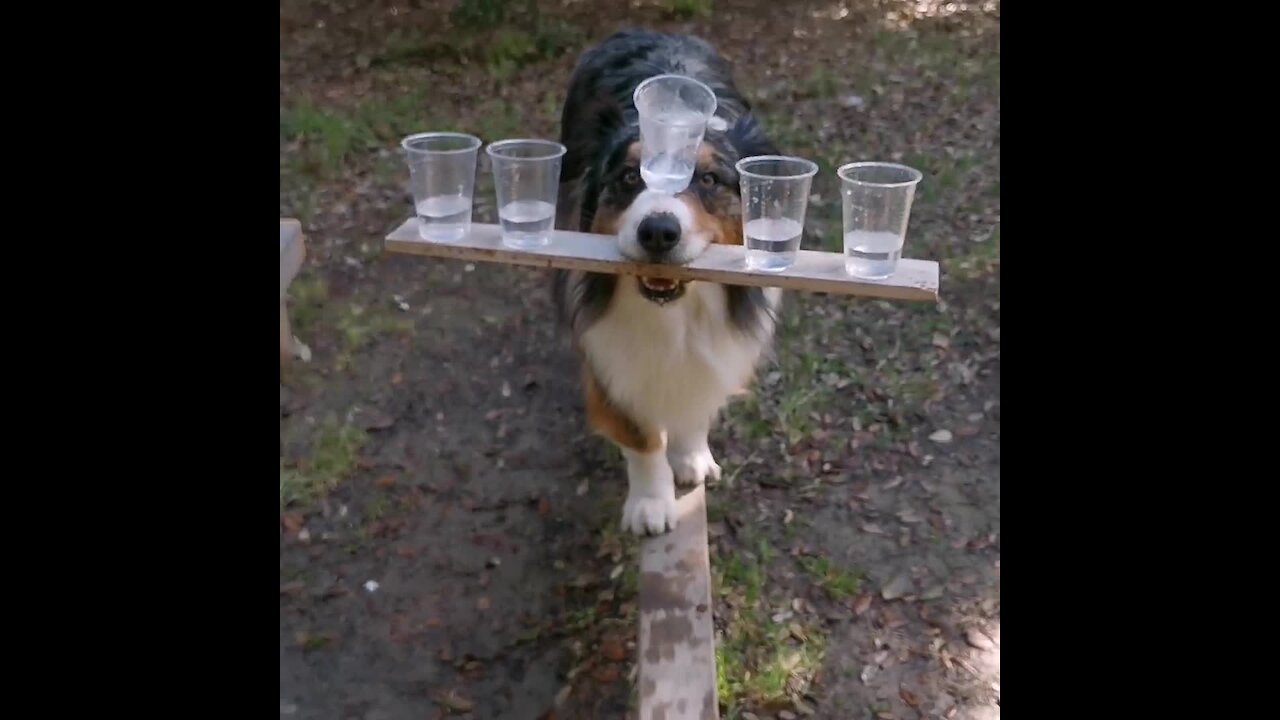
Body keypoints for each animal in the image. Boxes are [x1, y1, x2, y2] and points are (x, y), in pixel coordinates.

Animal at [550, 29, 778, 532]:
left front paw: (690, 456)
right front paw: (651, 504)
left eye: (709, 179)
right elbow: (641, 436)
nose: (657, 231)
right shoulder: (606, 355)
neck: (674, 314)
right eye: (627, 176)